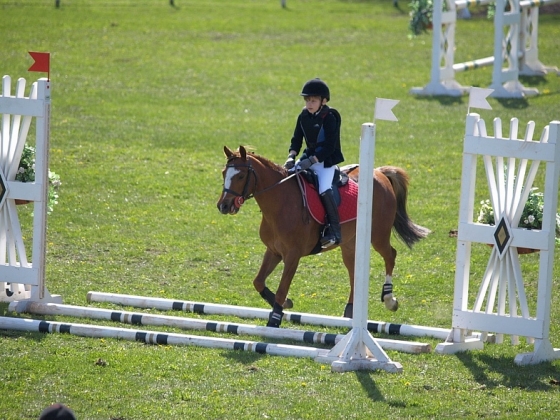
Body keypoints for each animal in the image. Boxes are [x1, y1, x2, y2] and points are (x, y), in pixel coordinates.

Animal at [217, 146, 430, 326]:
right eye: (224, 173)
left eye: (241, 175)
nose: (223, 206)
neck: (280, 203)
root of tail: (378, 172)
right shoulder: (274, 251)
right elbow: (258, 282)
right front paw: (286, 304)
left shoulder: (293, 255)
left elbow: (281, 289)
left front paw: (275, 318)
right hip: (350, 242)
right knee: (354, 271)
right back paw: (350, 311)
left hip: (377, 235)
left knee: (390, 255)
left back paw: (389, 300)